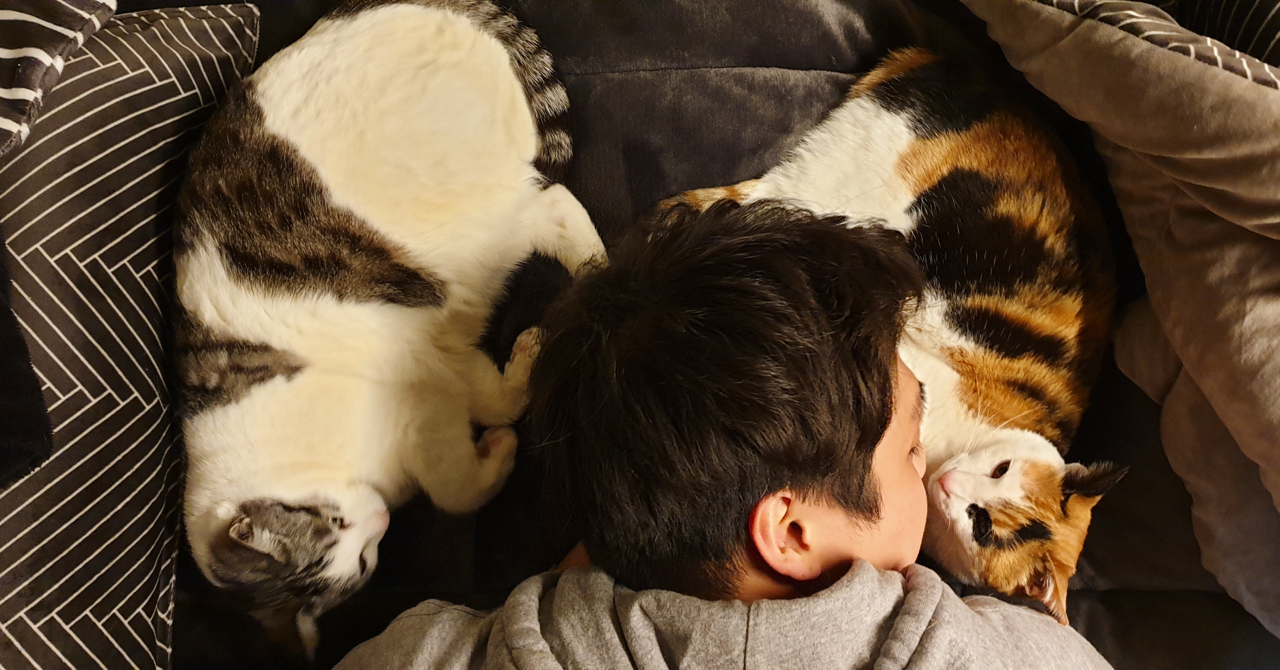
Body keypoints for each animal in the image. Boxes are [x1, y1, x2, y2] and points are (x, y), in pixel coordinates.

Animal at [174, 0, 605, 650]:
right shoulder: (443, 375)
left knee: (551, 203)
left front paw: (503, 437)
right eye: (359, 564)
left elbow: (458, 486)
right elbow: (482, 415)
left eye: (334, 521)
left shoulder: (426, 392)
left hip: (476, 219)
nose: (377, 519)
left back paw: (601, 270)